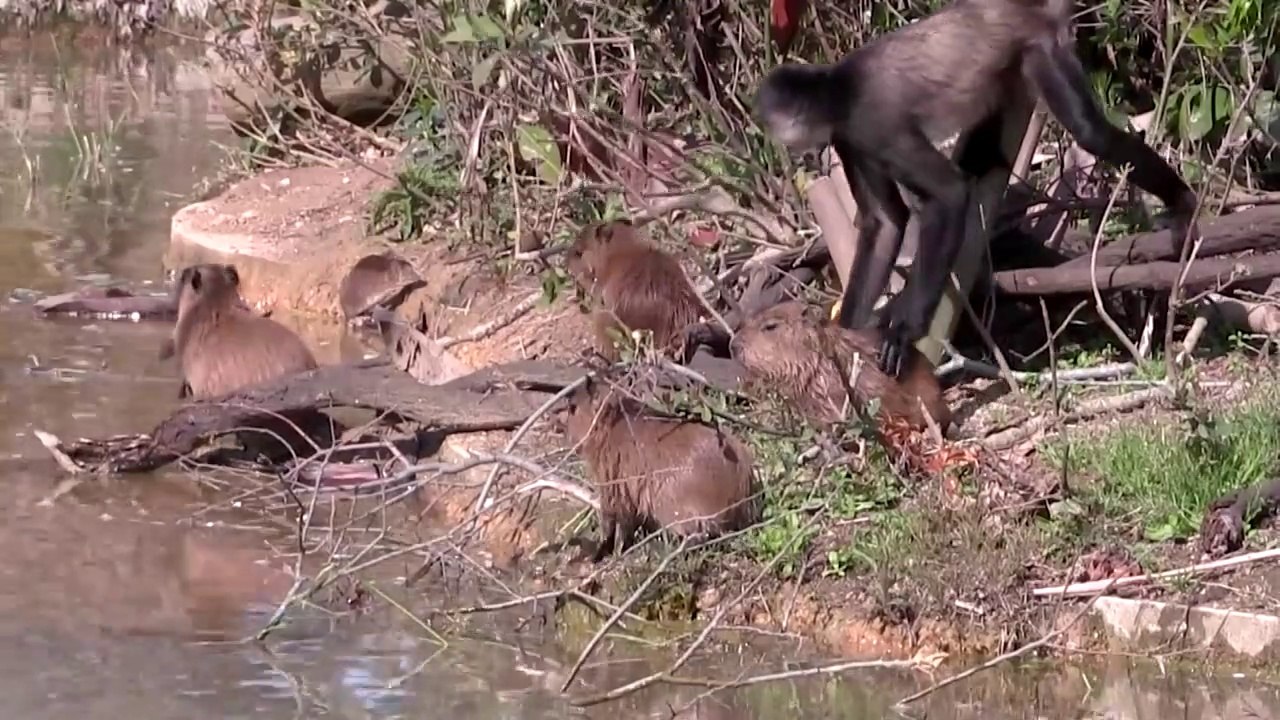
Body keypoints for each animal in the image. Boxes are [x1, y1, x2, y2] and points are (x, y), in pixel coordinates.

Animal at [753, 0, 1199, 379]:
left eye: (773, 119)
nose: (775, 140)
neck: (838, 87)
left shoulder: (870, 122)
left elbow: (948, 193)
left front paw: (905, 331)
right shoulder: (850, 137)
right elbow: (885, 223)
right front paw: (842, 340)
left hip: (1040, 46)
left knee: (1091, 134)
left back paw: (1183, 202)